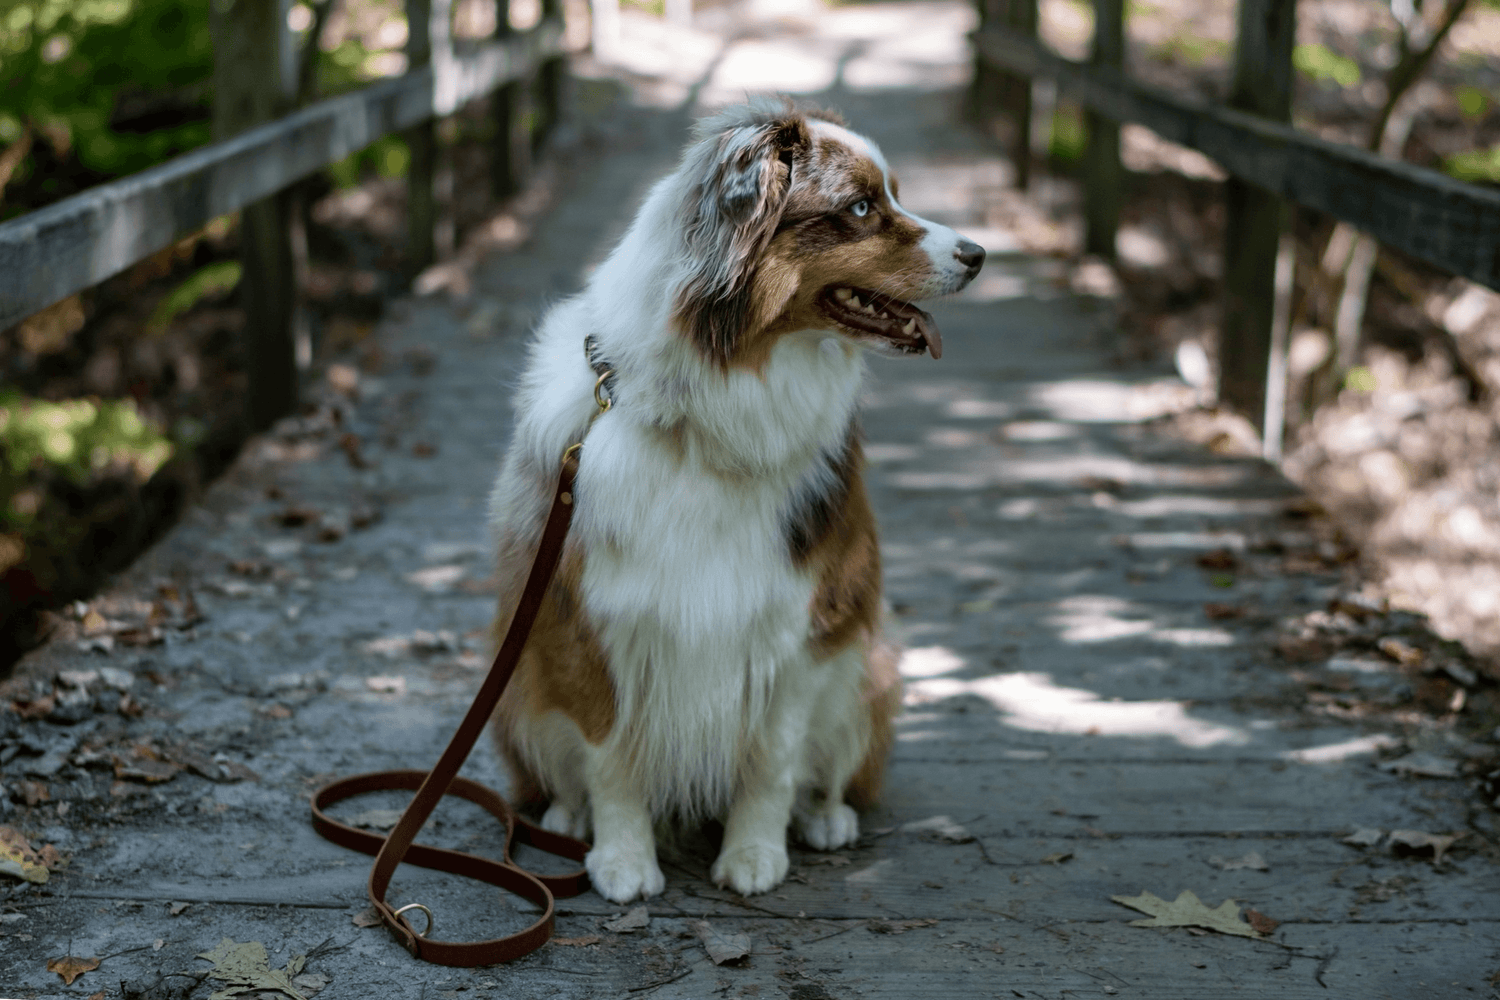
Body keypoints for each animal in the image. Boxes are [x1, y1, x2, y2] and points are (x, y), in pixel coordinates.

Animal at [486, 97, 990, 905]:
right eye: (860, 207)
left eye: (894, 195)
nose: (978, 254)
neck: (707, 416)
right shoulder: (586, 613)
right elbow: (609, 754)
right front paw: (624, 859)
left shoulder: (801, 619)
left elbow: (773, 760)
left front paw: (754, 853)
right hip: (517, 675)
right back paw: (567, 817)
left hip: (866, 669)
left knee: (832, 767)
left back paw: (825, 817)